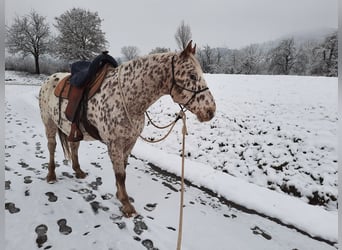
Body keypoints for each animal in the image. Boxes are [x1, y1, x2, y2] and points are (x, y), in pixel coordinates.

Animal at [38, 41, 216, 217]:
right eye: (192, 75)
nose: (211, 111)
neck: (127, 99)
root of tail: (49, 79)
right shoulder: (114, 144)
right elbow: (120, 174)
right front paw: (127, 205)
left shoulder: (130, 141)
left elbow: (123, 168)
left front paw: (120, 196)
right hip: (49, 123)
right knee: (52, 146)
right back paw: (51, 175)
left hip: (72, 129)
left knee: (74, 146)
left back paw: (78, 171)